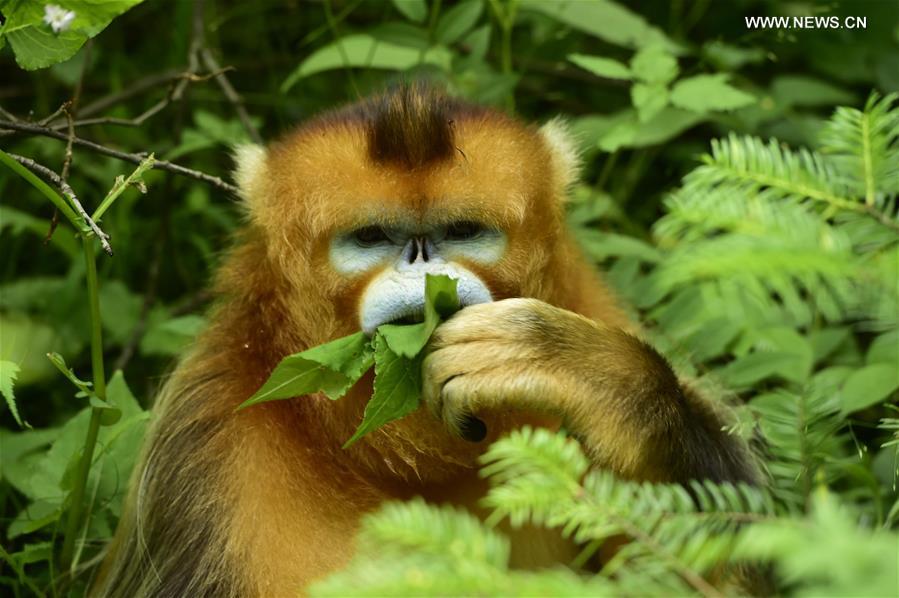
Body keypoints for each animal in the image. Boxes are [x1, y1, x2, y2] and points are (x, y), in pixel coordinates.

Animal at [95, 85, 760, 598]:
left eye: (462, 230)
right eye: (371, 237)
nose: (422, 263)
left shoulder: (590, 305)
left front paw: (584, 371)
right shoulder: (208, 442)